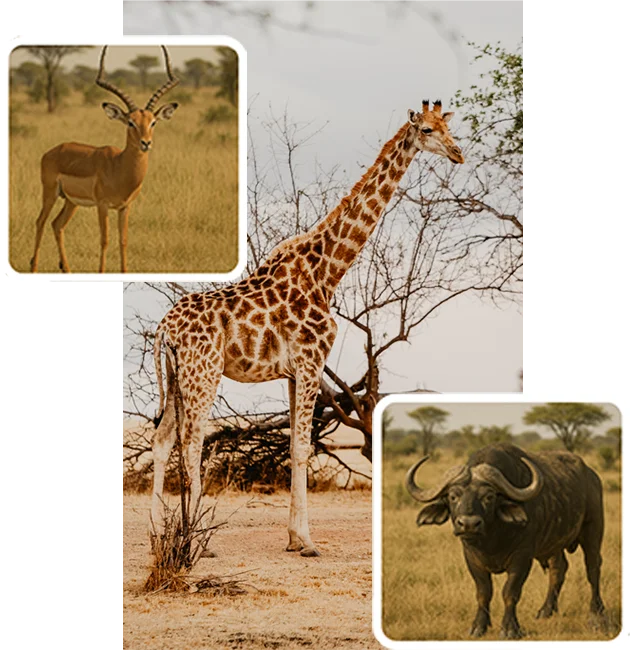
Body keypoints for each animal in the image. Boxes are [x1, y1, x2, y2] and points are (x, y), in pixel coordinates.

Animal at [30, 46, 179, 273]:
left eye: (153, 122)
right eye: (130, 122)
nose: (146, 143)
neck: (119, 167)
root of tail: (52, 151)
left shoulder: (125, 207)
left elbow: (123, 240)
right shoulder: (103, 205)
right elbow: (105, 240)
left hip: (71, 201)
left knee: (57, 224)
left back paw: (67, 269)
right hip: (50, 193)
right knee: (40, 222)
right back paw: (34, 267)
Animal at [151, 100, 464, 557]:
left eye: (447, 126)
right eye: (426, 130)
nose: (458, 154)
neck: (327, 271)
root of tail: (164, 328)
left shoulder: (293, 371)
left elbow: (298, 445)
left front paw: (293, 538)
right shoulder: (312, 359)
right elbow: (301, 448)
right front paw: (308, 541)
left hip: (176, 375)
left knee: (161, 440)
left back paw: (158, 535)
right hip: (203, 372)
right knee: (191, 443)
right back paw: (194, 540)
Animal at [405, 443, 606, 638]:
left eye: (489, 497)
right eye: (453, 496)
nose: (468, 524)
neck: (491, 539)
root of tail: (592, 477)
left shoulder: (522, 557)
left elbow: (510, 591)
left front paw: (510, 628)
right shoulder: (471, 558)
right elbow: (483, 592)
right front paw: (479, 626)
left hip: (593, 531)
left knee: (593, 569)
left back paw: (596, 616)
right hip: (554, 545)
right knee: (559, 569)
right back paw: (546, 610)